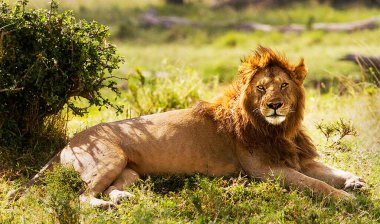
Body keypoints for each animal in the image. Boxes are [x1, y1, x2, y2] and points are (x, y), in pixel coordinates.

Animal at [9, 46, 366, 208]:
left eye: (283, 86)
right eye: (261, 89)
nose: (274, 105)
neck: (280, 130)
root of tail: (68, 143)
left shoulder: (298, 158)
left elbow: (329, 170)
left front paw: (354, 182)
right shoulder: (265, 170)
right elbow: (315, 184)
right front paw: (346, 199)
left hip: (129, 170)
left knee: (111, 187)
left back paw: (123, 198)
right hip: (108, 159)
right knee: (82, 197)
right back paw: (106, 205)